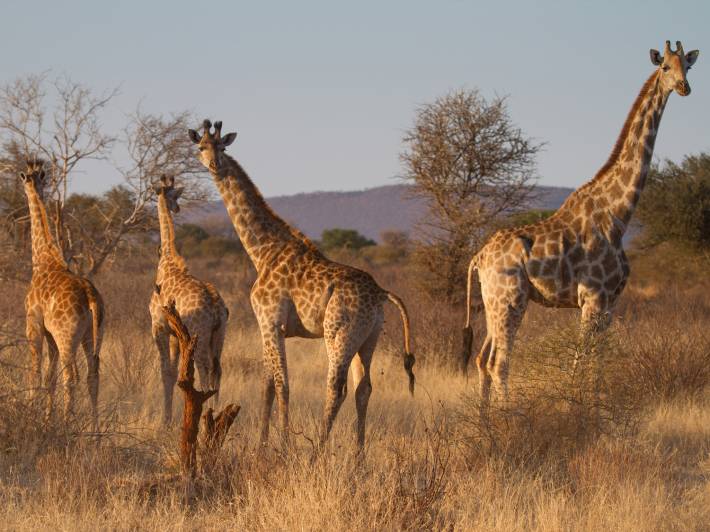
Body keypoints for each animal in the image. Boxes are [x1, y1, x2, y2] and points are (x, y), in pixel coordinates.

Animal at [21, 160, 104, 431]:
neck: (42, 259)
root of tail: (90, 295)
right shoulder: (50, 335)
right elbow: (50, 378)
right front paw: (47, 419)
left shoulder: (34, 326)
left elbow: (36, 372)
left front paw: (32, 413)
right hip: (92, 335)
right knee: (92, 375)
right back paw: (96, 433)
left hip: (67, 335)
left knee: (72, 375)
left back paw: (69, 424)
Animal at [149, 175, 229, 425]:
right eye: (174, 196)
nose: (177, 207)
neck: (166, 260)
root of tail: (216, 306)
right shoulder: (176, 336)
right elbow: (175, 372)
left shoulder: (158, 327)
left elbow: (165, 371)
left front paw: (165, 420)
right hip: (219, 334)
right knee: (217, 368)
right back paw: (216, 411)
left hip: (200, 333)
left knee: (204, 367)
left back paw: (205, 413)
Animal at [188, 120, 415, 449]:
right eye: (202, 146)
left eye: (221, 146)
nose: (215, 165)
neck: (263, 252)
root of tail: (381, 293)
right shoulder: (267, 326)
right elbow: (268, 385)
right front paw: (262, 445)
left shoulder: (271, 322)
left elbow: (282, 384)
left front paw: (282, 445)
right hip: (370, 337)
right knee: (364, 388)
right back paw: (358, 454)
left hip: (339, 334)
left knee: (336, 388)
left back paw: (318, 450)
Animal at [461, 41, 699, 411]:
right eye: (665, 68)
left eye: (687, 66)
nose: (685, 88)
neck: (618, 214)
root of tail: (479, 257)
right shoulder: (593, 298)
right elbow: (580, 361)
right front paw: (575, 410)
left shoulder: (611, 302)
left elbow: (597, 361)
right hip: (510, 300)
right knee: (499, 363)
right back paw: (506, 415)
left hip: (492, 303)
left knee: (483, 360)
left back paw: (484, 418)